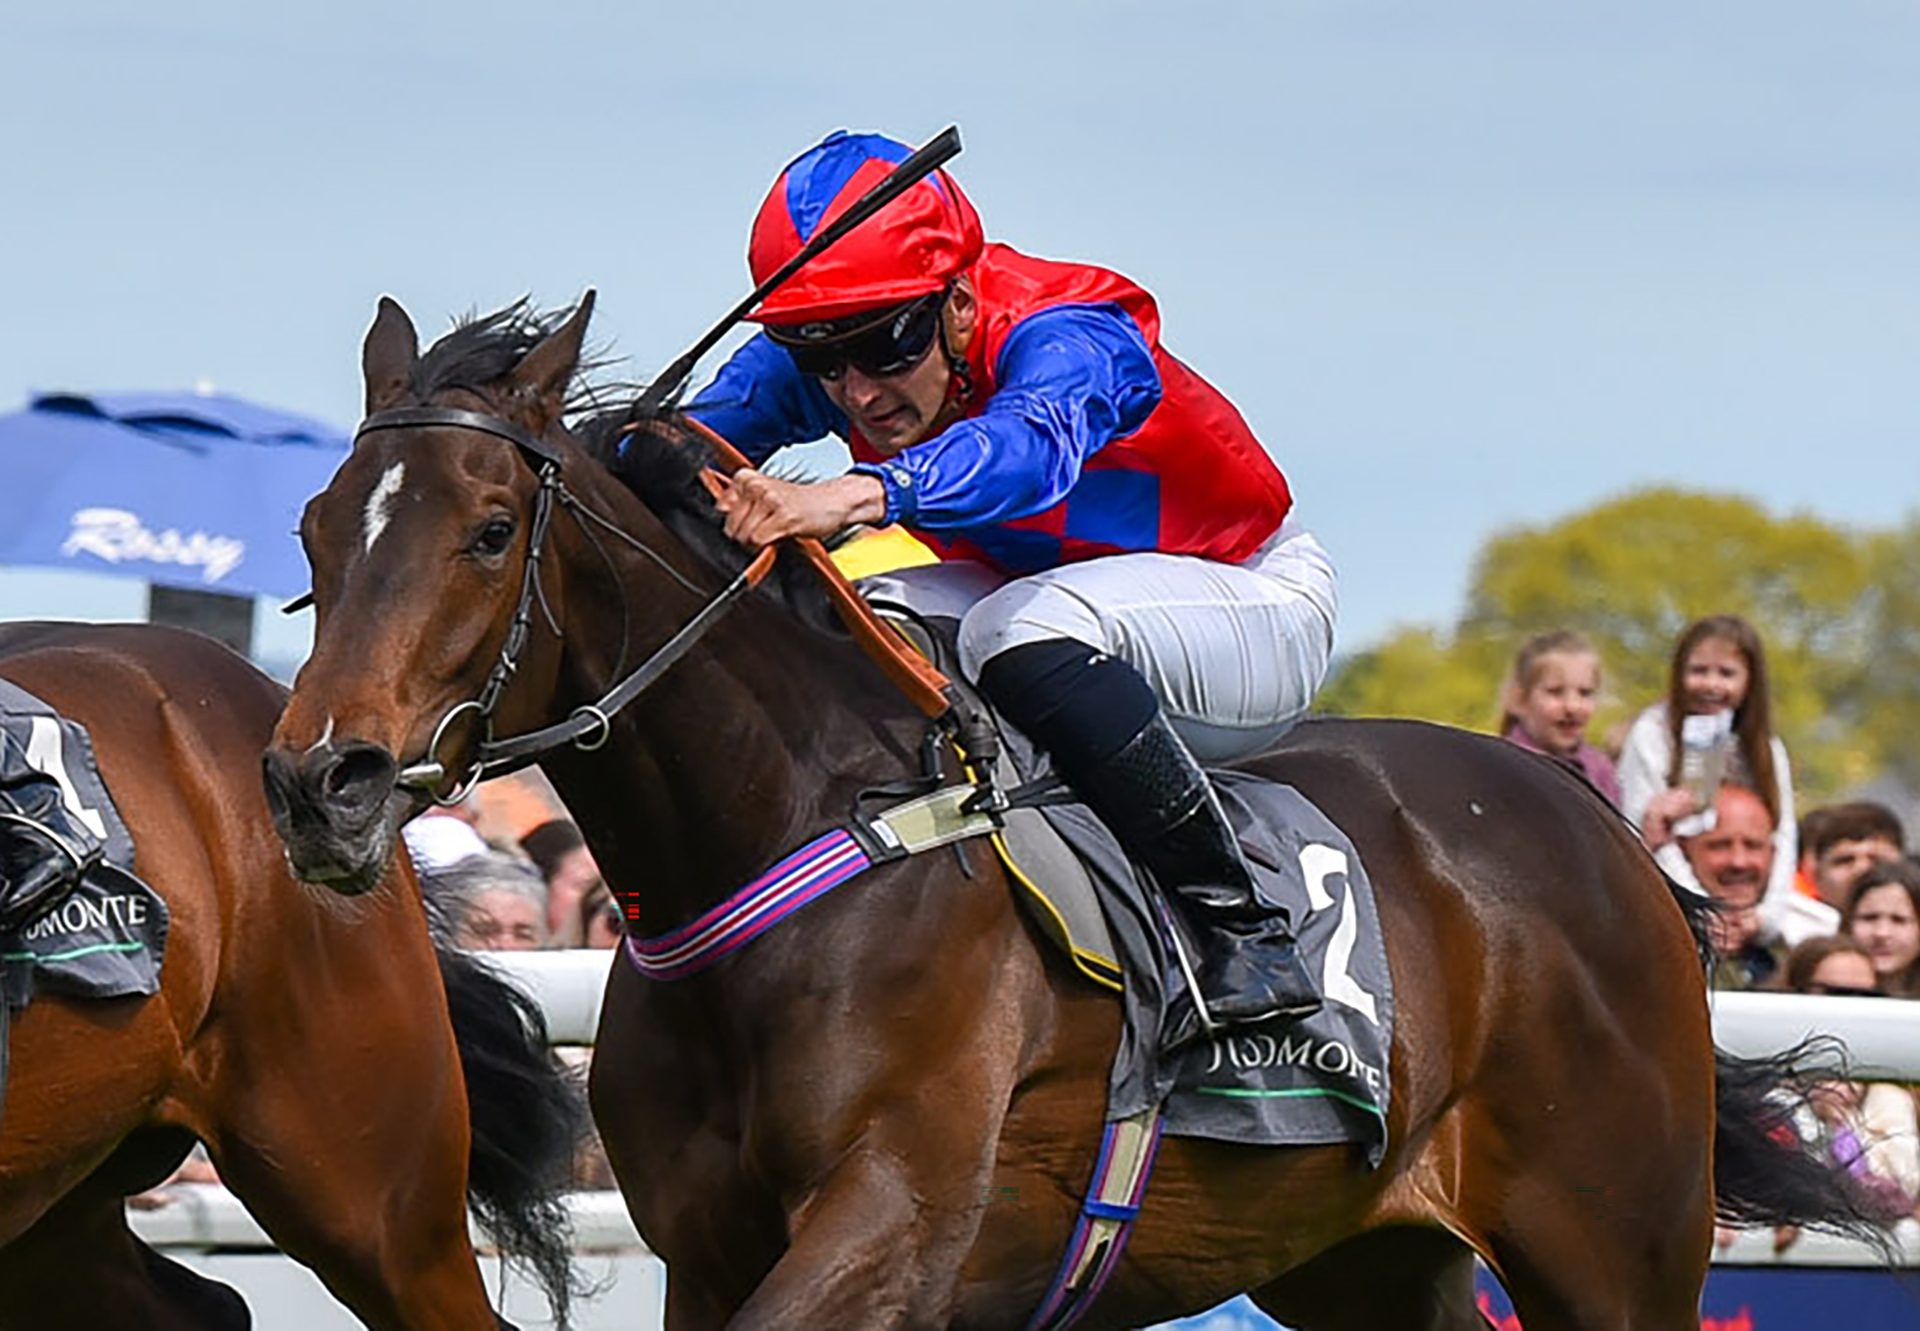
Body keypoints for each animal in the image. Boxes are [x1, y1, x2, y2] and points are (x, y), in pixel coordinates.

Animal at [266, 295, 1873, 1321]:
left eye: (489, 529)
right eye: (315, 528)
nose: (316, 783)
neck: (795, 831)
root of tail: (1614, 843)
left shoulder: (895, 1226)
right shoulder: (708, 1254)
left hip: (1616, 1239)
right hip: (1364, 1257)